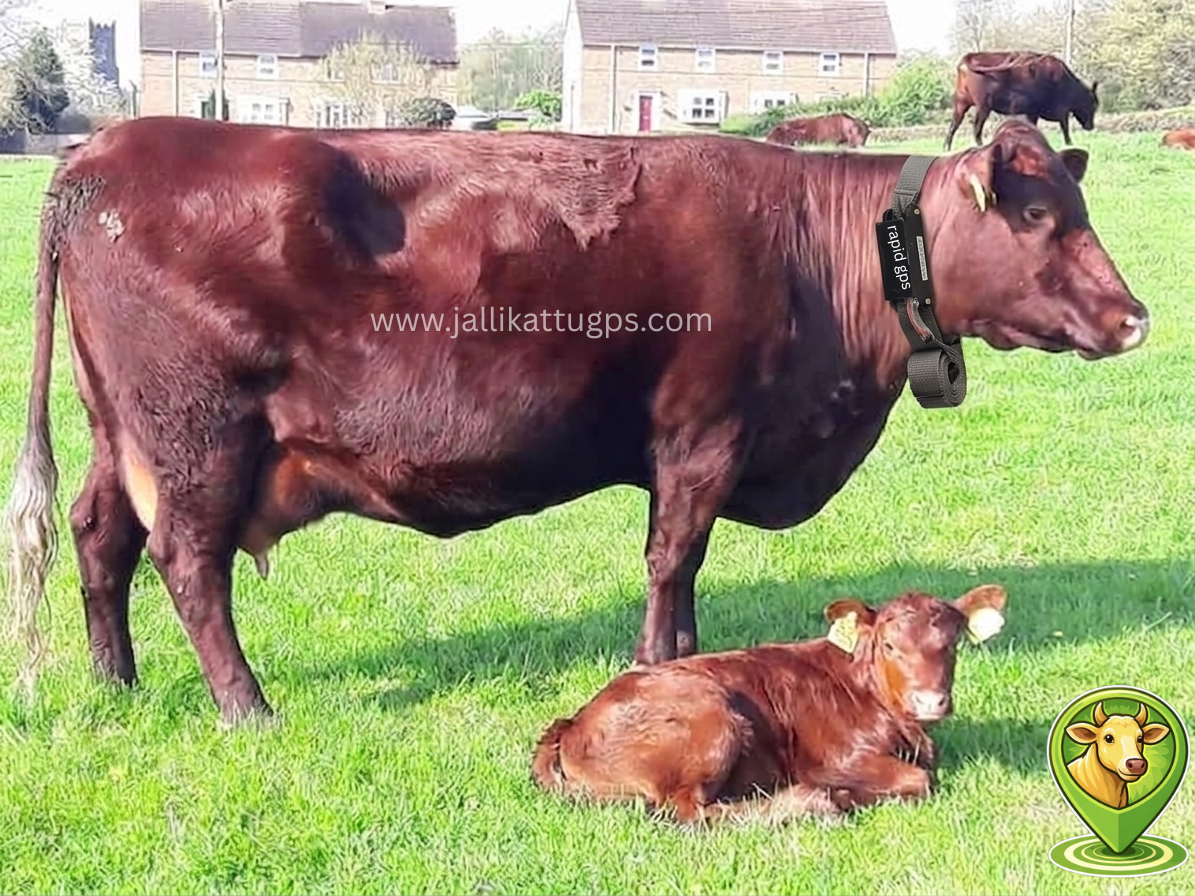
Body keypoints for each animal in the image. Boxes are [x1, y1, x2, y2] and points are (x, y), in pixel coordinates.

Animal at [3, 115, 1149, 726]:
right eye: (1038, 215)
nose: (1135, 316)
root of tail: (103, 150)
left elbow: (678, 565)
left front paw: (682, 658)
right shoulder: (701, 434)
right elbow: (672, 555)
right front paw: (656, 662)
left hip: (123, 432)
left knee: (103, 540)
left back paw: (116, 682)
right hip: (197, 435)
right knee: (188, 564)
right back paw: (245, 704)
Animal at [531, 584, 1008, 825]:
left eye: (953, 645)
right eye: (889, 645)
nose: (930, 700)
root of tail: (573, 722)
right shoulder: (839, 756)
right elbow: (920, 780)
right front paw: (846, 794)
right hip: (711, 721)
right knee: (688, 810)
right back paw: (814, 803)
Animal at [945, 51, 1099, 150]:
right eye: (1093, 105)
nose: (1091, 126)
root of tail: (969, 57)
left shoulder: (1033, 111)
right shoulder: (1062, 109)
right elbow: (1065, 127)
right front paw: (1069, 144)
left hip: (960, 103)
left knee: (953, 126)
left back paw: (946, 148)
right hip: (983, 106)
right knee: (976, 129)